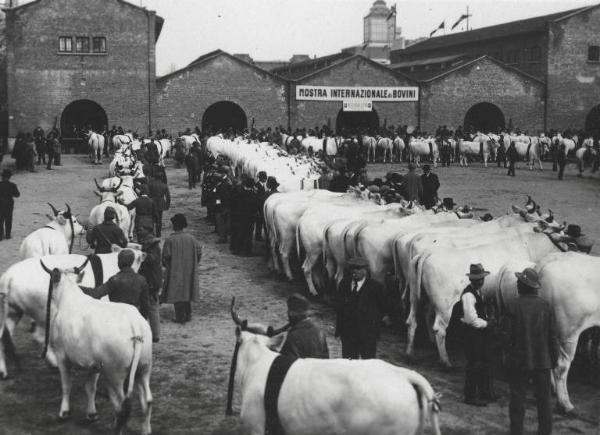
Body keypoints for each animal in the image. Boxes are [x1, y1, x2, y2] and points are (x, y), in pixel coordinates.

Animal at [38, 260, 152, 434]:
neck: (69, 297)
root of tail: (135, 325)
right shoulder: (94, 365)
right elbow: (90, 387)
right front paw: (91, 414)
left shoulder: (61, 356)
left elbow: (66, 385)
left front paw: (64, 411)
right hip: (144, 369)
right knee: (147, 401)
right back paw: (145, 429)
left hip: (115, 375)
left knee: (121, 406)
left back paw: (116, 428)